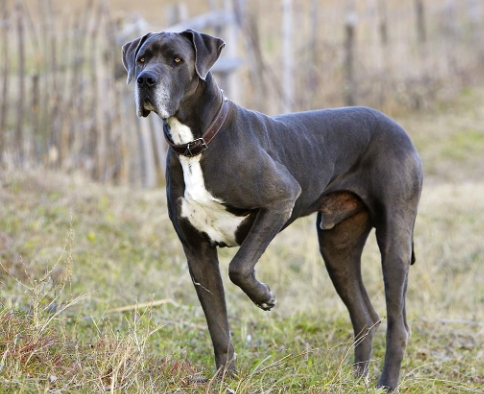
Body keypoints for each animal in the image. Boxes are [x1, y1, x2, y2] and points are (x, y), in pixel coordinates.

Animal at [122, 28, 424, 390]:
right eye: (142, 59)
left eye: (177, 60)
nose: (145, 79)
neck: (195, 144)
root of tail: (397, 126)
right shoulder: (198, 253)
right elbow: (217, 325)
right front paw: (224, 379)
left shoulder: (281, 199)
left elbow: (239, 267)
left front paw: (264, 296)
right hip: (336, 246)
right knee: (365, 316)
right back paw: (356, 379)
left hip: (394, 239)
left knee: (399, 324)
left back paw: (386, 383)